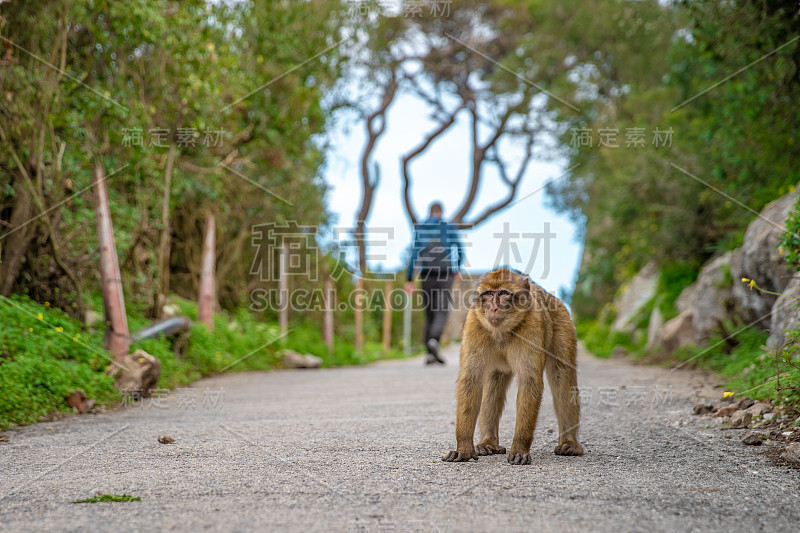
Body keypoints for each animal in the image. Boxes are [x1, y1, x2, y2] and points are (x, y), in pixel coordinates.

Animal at [444, 268, 580, 464]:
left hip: (563, 324)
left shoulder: (531, 325)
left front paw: (520, 448)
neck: (501, 332)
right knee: (494, 381)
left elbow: (529, 381)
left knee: (562, 377)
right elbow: (471, 379)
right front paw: (463, 447)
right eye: (489, 293)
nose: (493, 308)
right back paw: (489, 442)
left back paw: (570, 443)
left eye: (503, 293)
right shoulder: (474, 324)